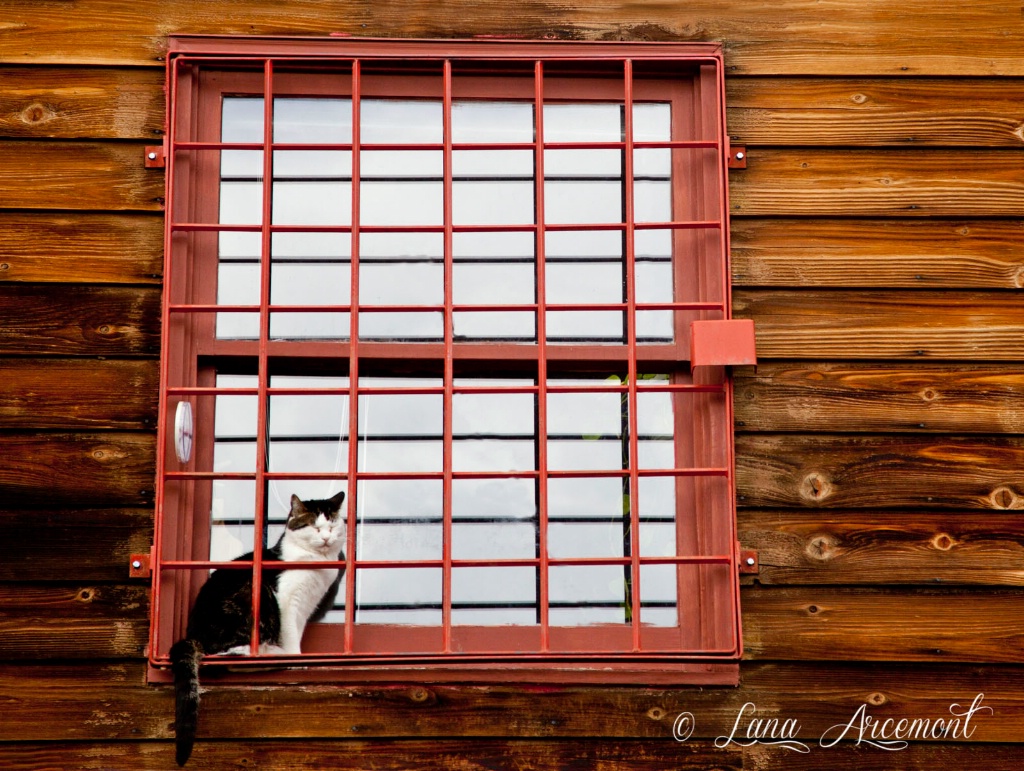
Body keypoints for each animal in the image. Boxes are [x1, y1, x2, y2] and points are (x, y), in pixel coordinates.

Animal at [167, 489, 344, 765]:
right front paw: (296, 659)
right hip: (253, 600)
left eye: (333, 525)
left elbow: (298, 631)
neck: (317, 561)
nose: (326, 537)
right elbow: (291, 634)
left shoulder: (306, 606)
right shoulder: (288, 599)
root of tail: (193, 635)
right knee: (230, 656)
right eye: (315, 527)